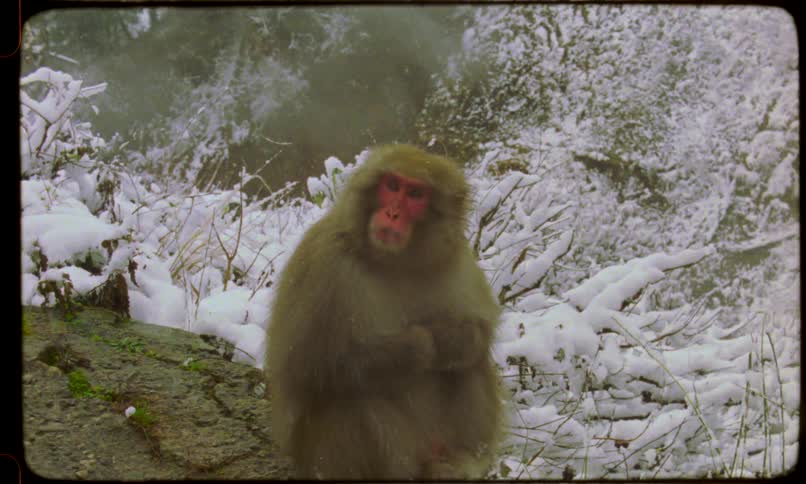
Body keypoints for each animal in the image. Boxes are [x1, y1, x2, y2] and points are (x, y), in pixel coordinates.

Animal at [266, 144, 502, 480]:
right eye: (391, 185)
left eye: (415, 193)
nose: (393, 213)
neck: (395, 261)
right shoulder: (321, 260)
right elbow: (305, 365)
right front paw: (421, 345)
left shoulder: (456, 259)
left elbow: (478, 334)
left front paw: (450, 340)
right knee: (353, 391)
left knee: (472, 364)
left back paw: (460, 463)